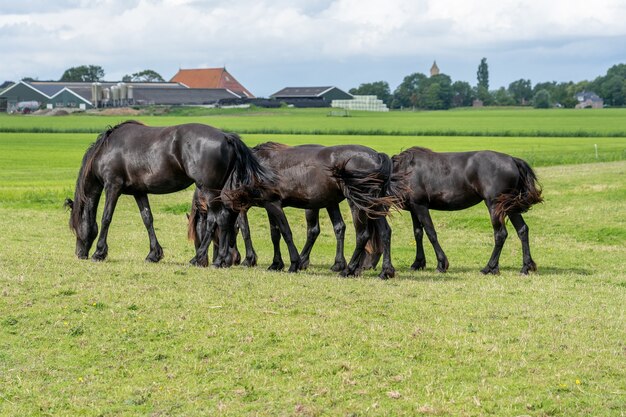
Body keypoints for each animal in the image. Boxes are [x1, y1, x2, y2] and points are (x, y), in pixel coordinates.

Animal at [64, 118, 272, 264]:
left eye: (75, 227)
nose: (79, 253)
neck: (107, 149)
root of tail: (226, 137)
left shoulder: (112, 187)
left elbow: (106, 218)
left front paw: (99, 252)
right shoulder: (139, 192)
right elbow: (147, 219)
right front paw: (153, 254)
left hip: (209, 191)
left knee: (217, 219)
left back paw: (204, 259)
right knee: (226, 219)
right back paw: (219, 259)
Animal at [202, 141, 400, 278]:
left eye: (218, 228)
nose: (217, 262)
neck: (255, 170)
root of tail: (377, 156)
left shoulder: (274, 204)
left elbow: (286, 233)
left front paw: (294, 263)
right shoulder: (269, 206)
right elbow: (275, 234)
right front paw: (276, 264)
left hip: (358, 204)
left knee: (362, 235)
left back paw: (348, 269)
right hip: (374, 205)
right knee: (385, 231)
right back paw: (385, 271)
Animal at [390, 148, 540, 274]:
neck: (405, 170)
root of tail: (512, 160)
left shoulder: (420, 206)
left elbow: (431, 233)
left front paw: (441, 264)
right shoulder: (413, 208)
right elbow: (418, 234)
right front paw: (417, 263)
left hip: (494, 205)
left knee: (500, 234)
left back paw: (489, 267)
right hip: (509, 206)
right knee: (522, 230)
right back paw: (525, 267)